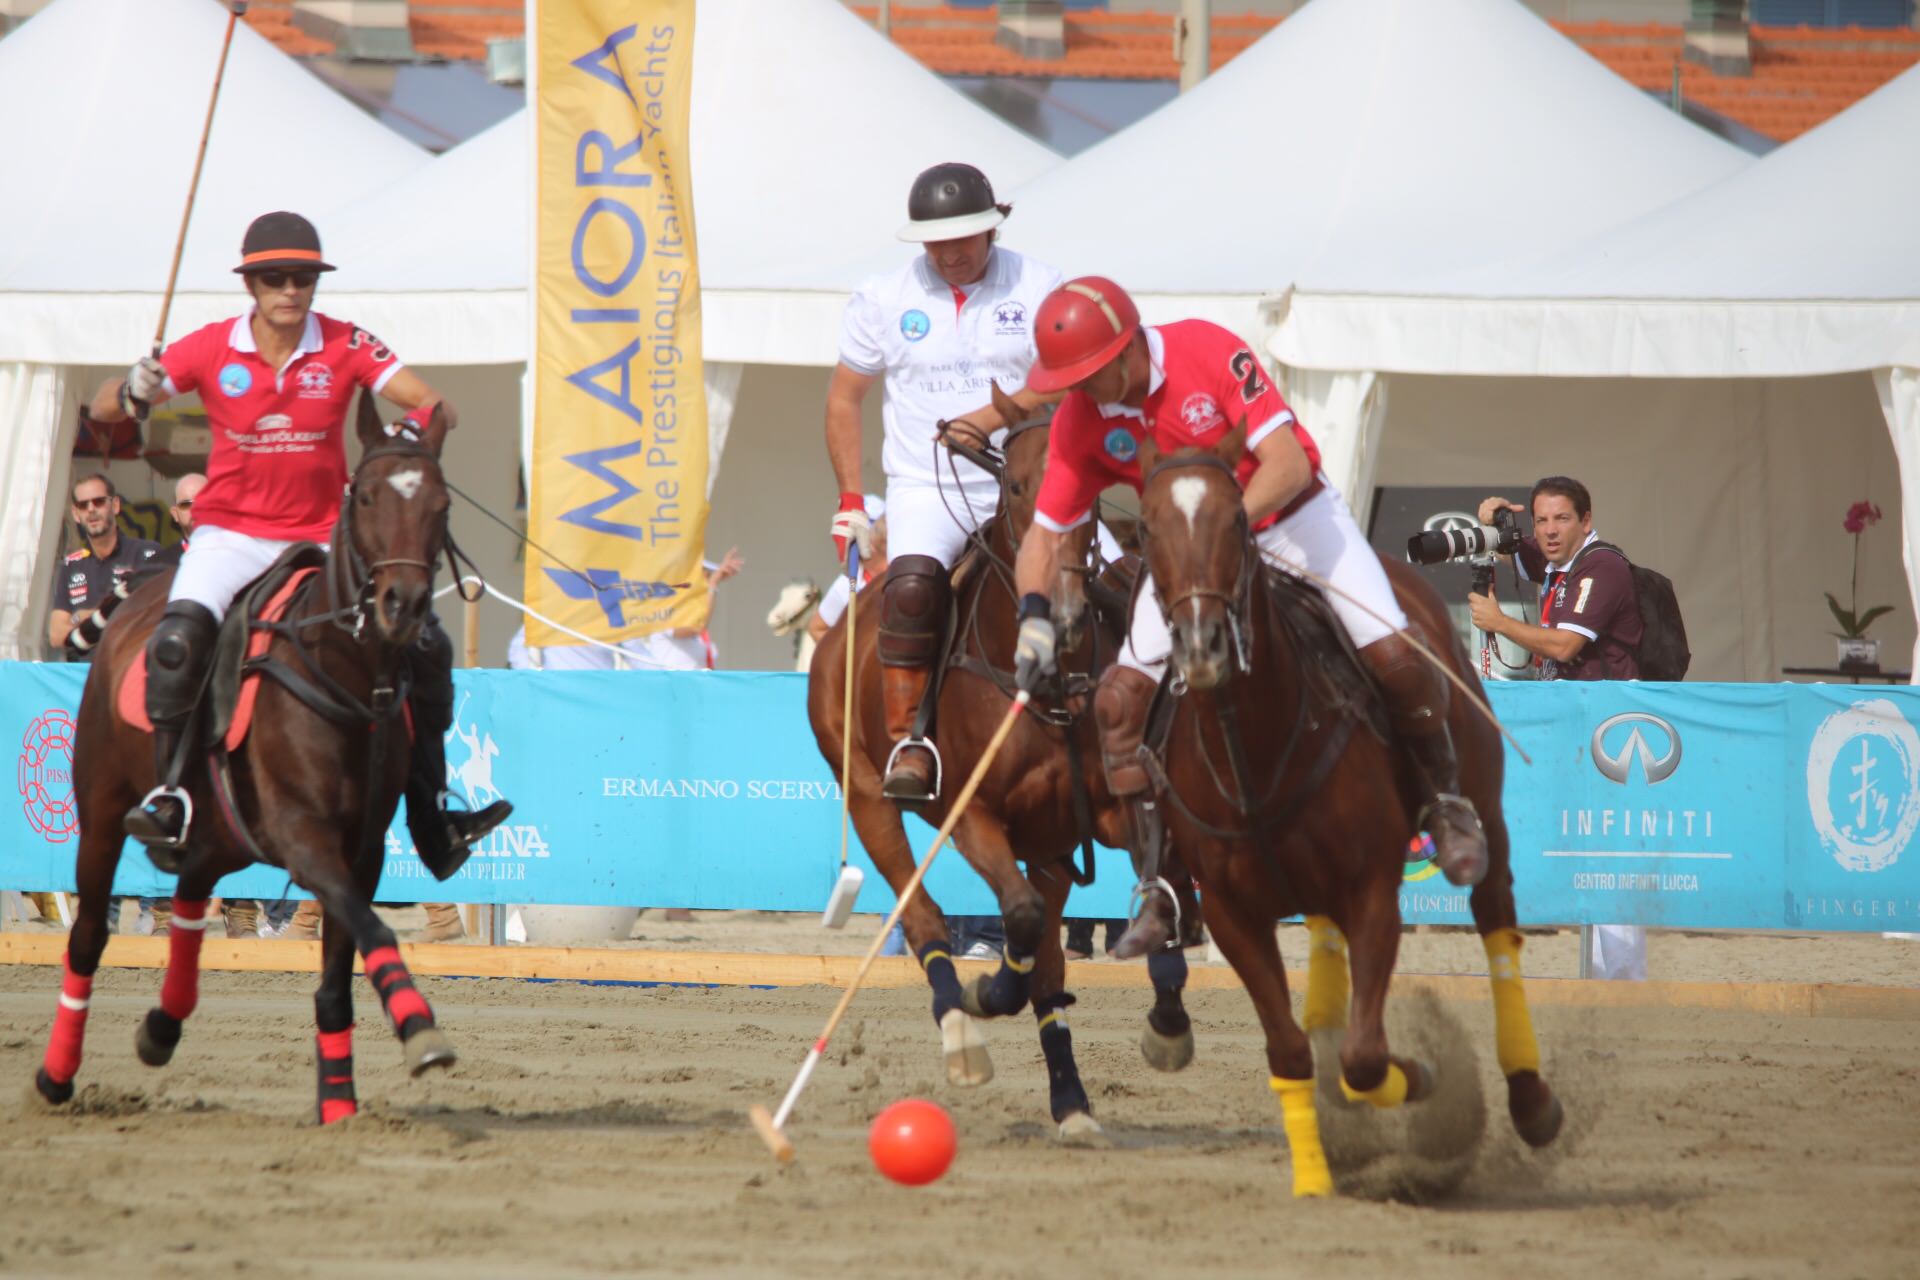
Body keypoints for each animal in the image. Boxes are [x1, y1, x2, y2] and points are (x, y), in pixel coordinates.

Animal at [38, 395, 460, 1128]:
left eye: (440, 504)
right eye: (367, 495)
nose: (403, 607)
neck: (343, 674)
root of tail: (141, 593)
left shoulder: (363, 849)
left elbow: (339, 970)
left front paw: (339, 1104)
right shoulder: (304, 837)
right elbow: (373, 925)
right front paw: (419, 1028)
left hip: (218, 832)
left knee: (188, 894)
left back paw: (162, 1026)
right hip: (101, 810)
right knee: (88, 934)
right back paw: (57, 1076)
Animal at [802, 391, 1190, 1143]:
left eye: (1087, 490)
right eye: (1014, 487)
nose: (1065, 612)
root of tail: (839, 632)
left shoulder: (1105, 809)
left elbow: (1160, 896)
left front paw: (1168, 1023)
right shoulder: (973, 814)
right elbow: (1018, 916)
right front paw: (988, 993)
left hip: (1051, 841)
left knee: (1049, 963)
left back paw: (1072, 1103)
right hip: (867, 798)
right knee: (925, 917)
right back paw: (962, 1034)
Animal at [1121, 429, 1559, 1205]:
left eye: (1236, 521)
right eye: (1145, 526)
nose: (1201, 644)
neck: (1253, 747)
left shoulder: (1371, 889)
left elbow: (1365, 1056)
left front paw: (1420, 1078)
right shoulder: (1232, 912)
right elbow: (1292, 1051)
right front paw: (1315, 1174)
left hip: (1485, 814)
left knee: (1497, 927)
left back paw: (1532, 1101)